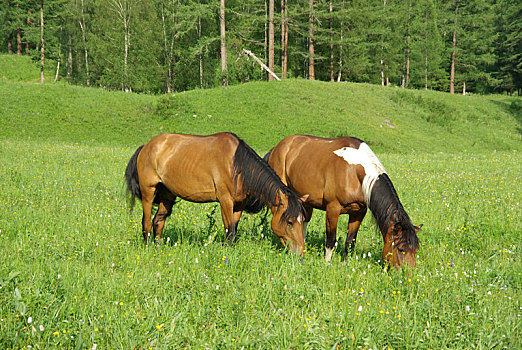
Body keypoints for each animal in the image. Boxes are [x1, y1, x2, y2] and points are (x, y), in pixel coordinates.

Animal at [124, 133, 306, 253]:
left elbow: (234, 229)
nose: (300, 253)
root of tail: (146, 146)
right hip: (148, 192)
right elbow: (229, 230)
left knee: (158, 222)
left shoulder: (239, 205)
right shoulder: (225, 201)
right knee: (147, 223)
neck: (237, 165)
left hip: (167, 195)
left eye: (302, 220)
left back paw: (158, 247)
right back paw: (148, 248)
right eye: (290, 222)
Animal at [262, 135, 420, 266]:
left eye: (415, 250)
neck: (355, 170)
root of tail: (278, 146)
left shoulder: (358, 212)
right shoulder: (333, 209)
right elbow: (331, 240)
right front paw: (327, 263)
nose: (408, 274)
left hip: (305, 200)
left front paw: (345, 264)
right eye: (401, 249)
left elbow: (350, 241)